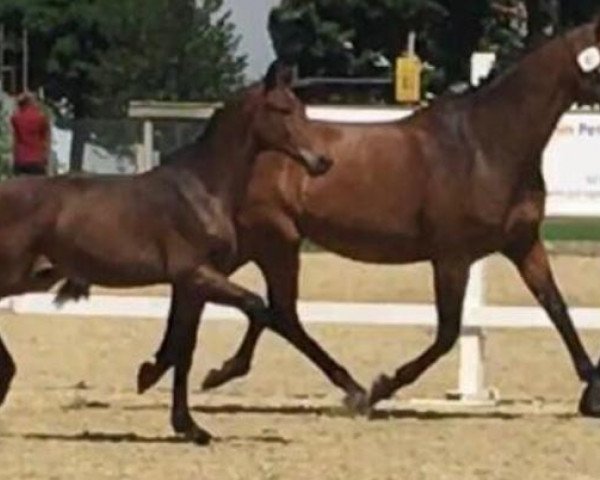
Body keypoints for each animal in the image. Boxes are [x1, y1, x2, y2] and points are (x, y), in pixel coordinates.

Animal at [0, 61, 330, 446]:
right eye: (281, 109)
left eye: (302, 110)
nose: (323, 161)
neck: (203, 188)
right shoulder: (196, 274)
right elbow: (257, 307)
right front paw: (211, 377)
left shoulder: (192, 287)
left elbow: (185, 348)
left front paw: (186, 421)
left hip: (36, 277)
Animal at [137, 18, 600, 416]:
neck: (486, 145)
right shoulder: (452, 257)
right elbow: (447, 333)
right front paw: (381, 388)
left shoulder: (523, 244)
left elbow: (557, 308)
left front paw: (591, 391)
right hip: (274, 240)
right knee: (276, 311)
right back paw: (347, 389)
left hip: (258, 244)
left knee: (248, 305)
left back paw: (181, 370)